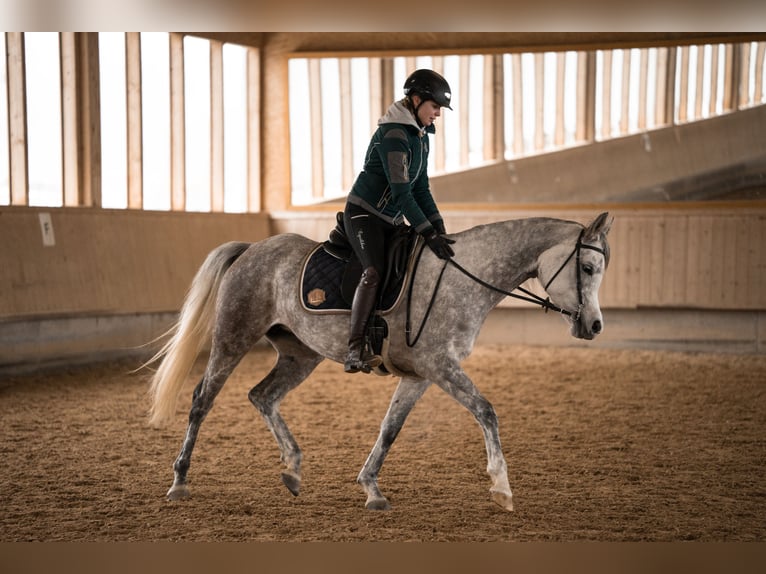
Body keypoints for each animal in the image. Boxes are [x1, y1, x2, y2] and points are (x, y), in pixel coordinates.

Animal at [146, 212, 612, 512]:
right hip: (233, 337)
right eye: (588, 267)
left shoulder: (421, 375)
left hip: (300, 354)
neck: (462, 277)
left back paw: (293, 470)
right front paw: (501, 486)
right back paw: (179, 481)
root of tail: (252, 249)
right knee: (202, 400)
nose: (594, 325)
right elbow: (486, 410)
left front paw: (371, 489)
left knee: (262, 395)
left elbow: (390, 429)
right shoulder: (440, 366)